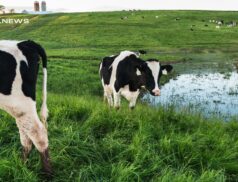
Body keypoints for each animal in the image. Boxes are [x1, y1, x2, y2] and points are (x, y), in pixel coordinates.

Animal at [0, 40, 51, 176]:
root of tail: (26, 42)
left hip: (19, 103)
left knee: (37, 133)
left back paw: (47, 174)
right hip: (20, 110)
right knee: (26, 135)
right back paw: (22, 167)